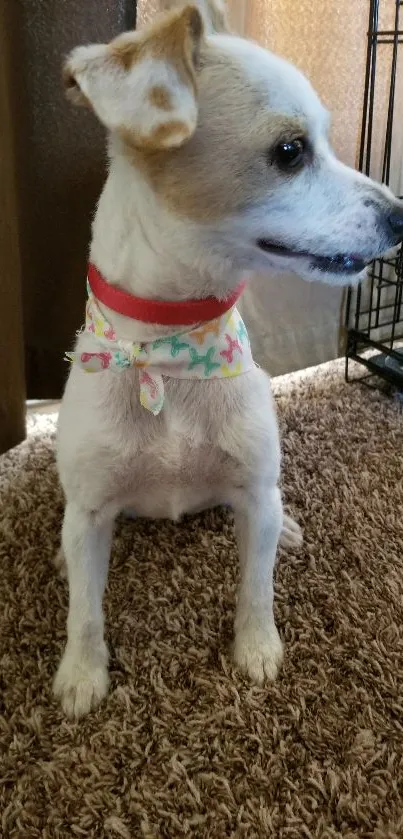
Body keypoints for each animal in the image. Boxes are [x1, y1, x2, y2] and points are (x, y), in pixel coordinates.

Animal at [53, 1, 403, 720]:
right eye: (290, 151)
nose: (401, 217)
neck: (172, 352)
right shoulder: (91, 512)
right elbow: (85, 611)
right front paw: (80, 674)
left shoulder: (253, 493)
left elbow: (256, 587)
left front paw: (256, 649)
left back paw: (289, 528)